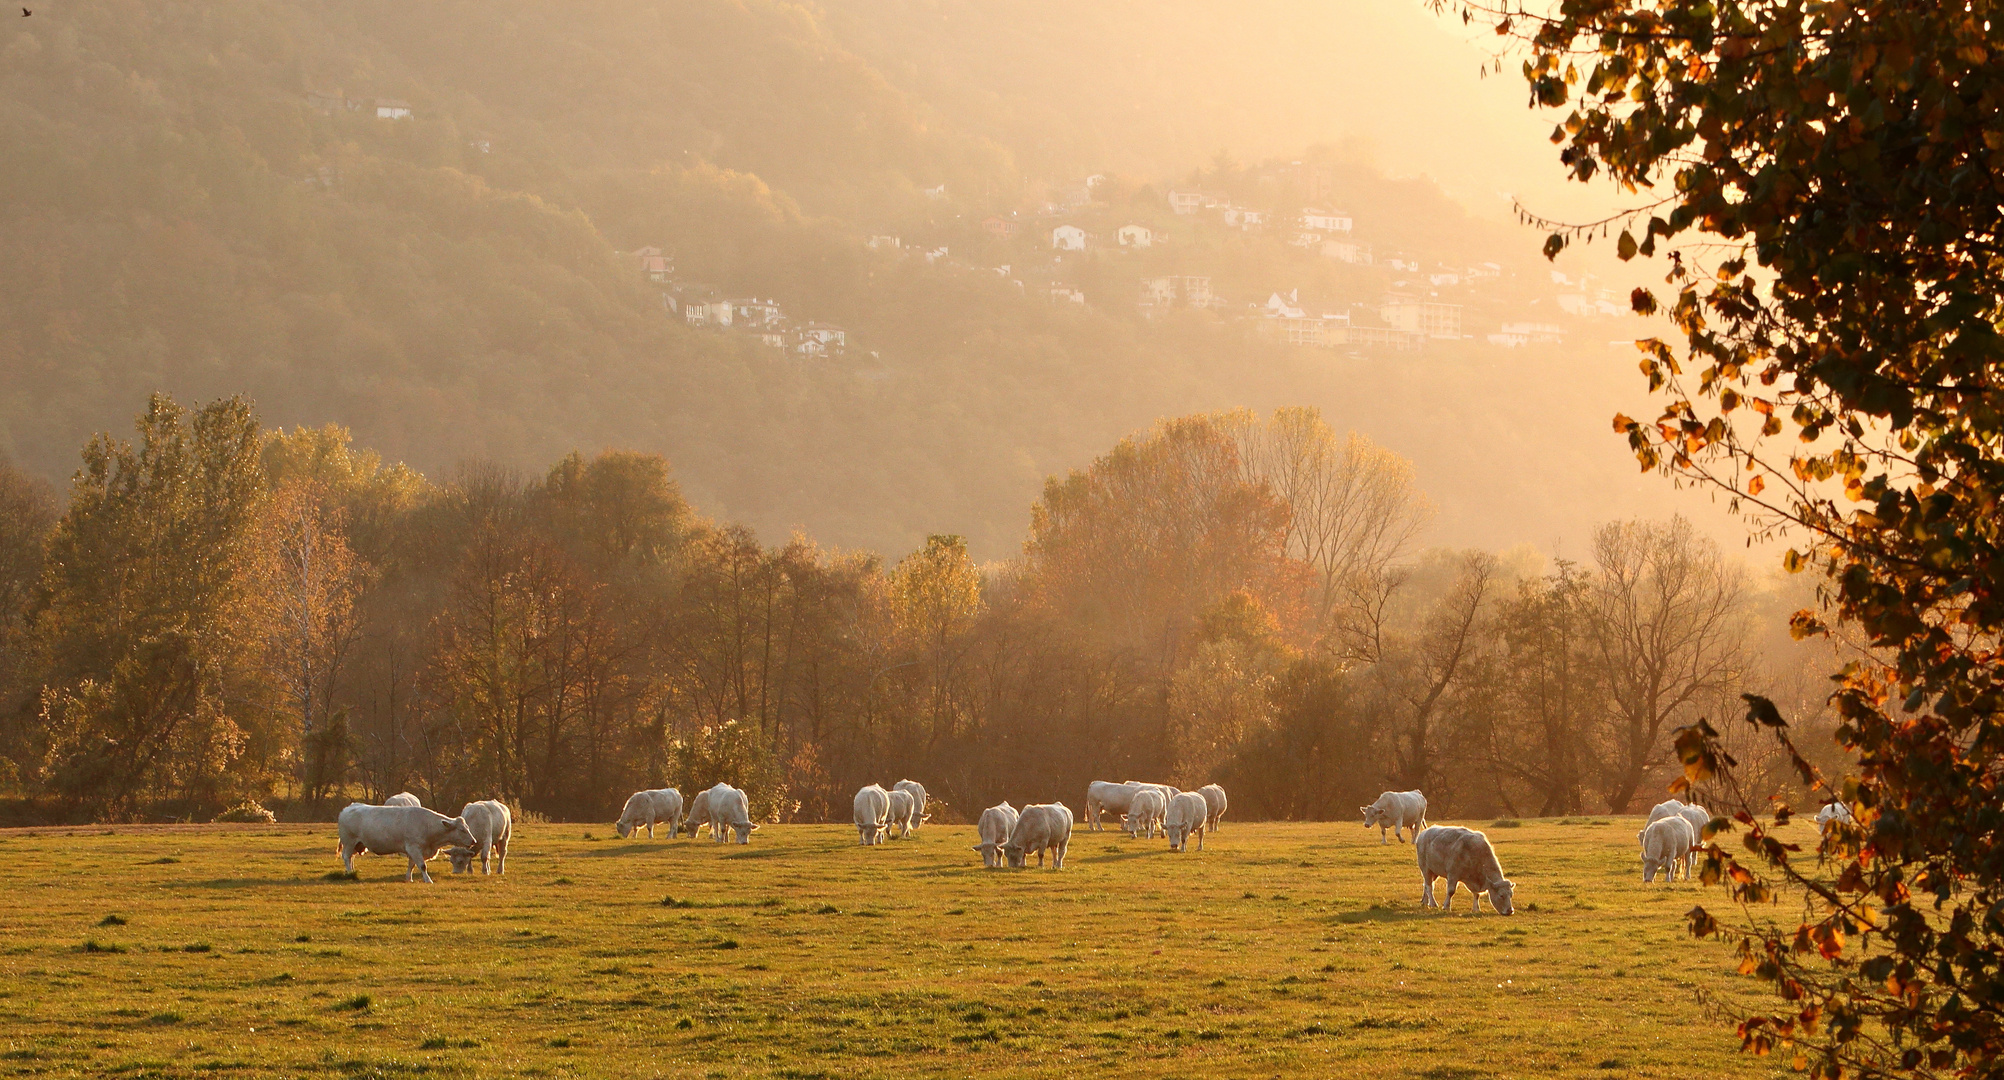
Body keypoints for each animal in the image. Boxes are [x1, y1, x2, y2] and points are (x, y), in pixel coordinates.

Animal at [340, 805, 476, 881]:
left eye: (468, 827)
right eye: (462, 830)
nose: (473, 841)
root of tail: (347, 809)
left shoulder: (414, 850)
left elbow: (411, 865)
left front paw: (408, 879)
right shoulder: (413, 847)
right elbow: (422, 865)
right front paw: (428, 880)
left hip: (356, 844)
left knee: (351, 858)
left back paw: (352, 871)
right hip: (349, 842)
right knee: (346, 857)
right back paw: (350, 872)